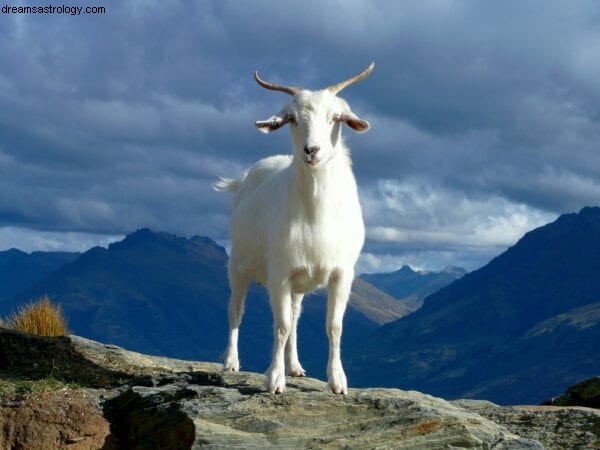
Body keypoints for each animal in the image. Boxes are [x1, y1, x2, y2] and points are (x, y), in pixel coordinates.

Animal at [213, 63, 372, 394]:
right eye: (293, 119)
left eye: (335, 118)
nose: (312, 150)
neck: (315, 214)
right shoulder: (280, 274)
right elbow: (281, 326)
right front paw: (274, 380)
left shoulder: (341, 273)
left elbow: (333, 326)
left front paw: (338, 381)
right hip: (238, 266)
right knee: (235, 310)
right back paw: (231, 362)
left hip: (299, 282)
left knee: (297, 317)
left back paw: (295, 366)